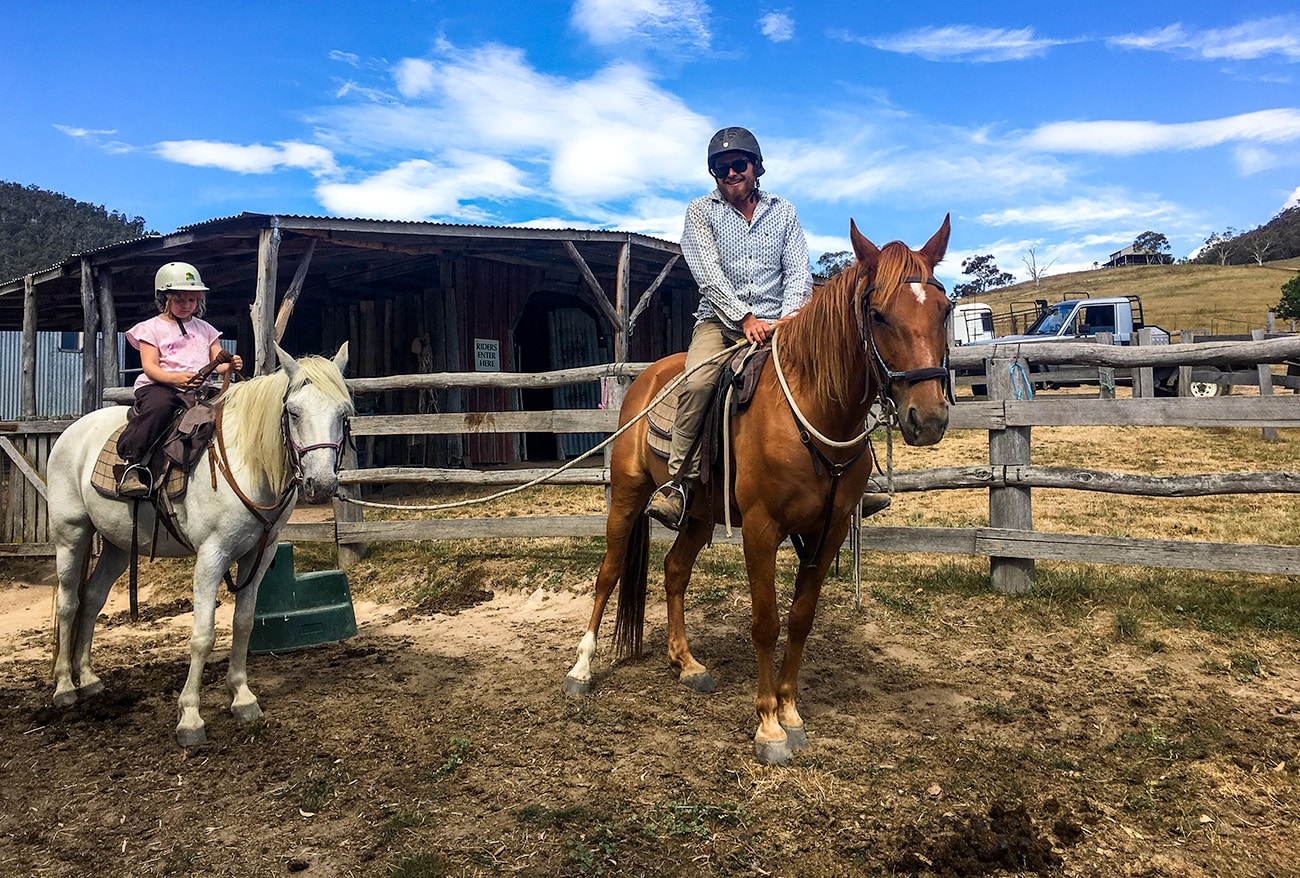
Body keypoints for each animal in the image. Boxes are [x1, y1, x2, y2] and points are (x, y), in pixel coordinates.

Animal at [48, 343, 353, 749]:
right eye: (293, 411)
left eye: (343, 413)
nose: (321, 485)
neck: (245, 464)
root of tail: (73, 430)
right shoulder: (212, 556)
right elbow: (203, 636)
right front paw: (190, 717)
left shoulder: (259, 555)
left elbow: (243, 624)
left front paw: (242, 698)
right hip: (72, 534)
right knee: (69, 603)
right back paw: (65, 687)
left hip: (116, 545)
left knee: (93, 597)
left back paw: (89, 679)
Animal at [564, 215, 951, 764]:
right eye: (877, 315)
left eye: (945, 310)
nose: (929, 418)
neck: (812, 413)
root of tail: (645, 379)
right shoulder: (762, 530)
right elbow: (766, 621)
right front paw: (768, 726)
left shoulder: (829, 529)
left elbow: (801, 618)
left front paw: (791, 712)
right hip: (627, 496)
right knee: (609, 572)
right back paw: (581, 669)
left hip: (699, 514)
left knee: (675, 570)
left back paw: (687, 664)